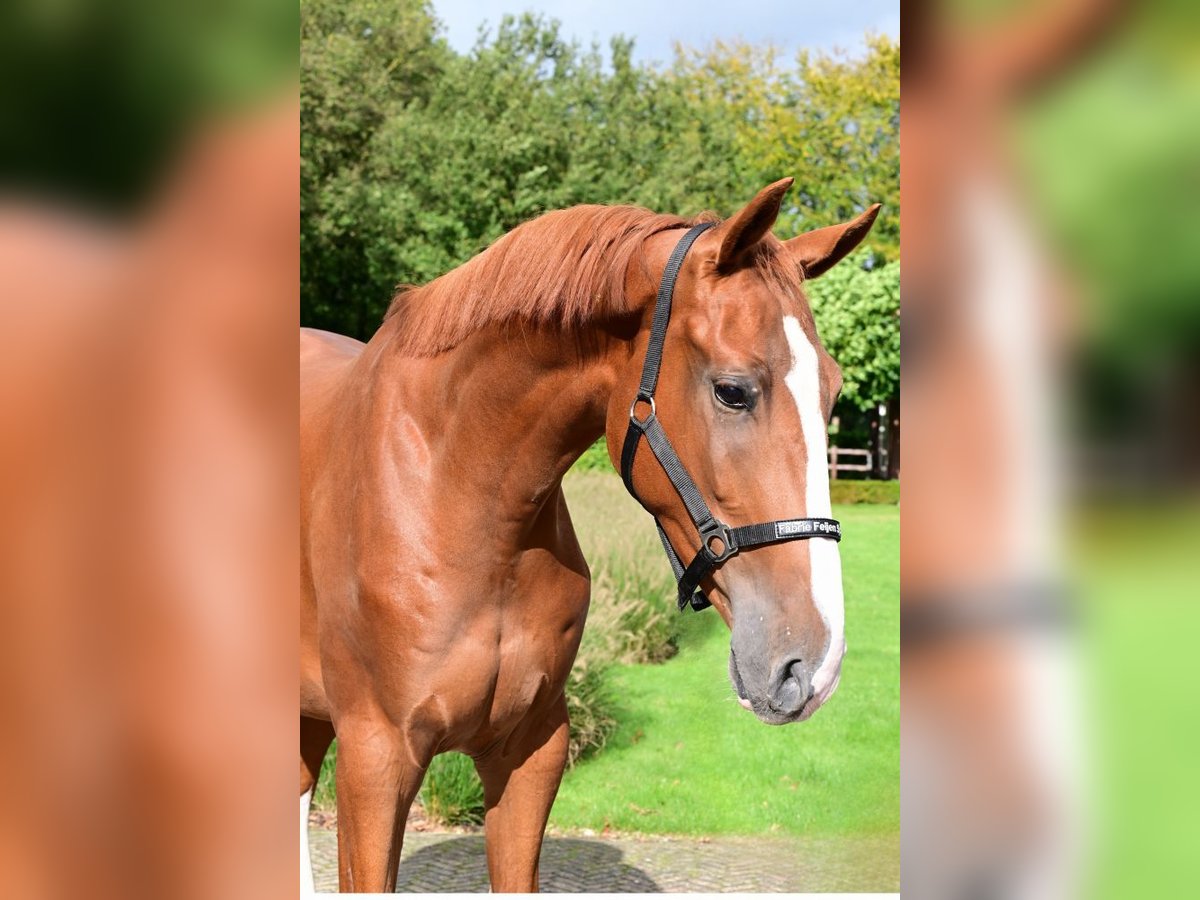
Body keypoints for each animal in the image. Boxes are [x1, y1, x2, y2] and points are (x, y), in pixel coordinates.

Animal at [300, 177, 883, 897]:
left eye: (832, 390)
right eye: (731, 390)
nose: (812, 663)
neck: (453, 488)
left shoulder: (531, 751)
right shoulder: (375, 761)